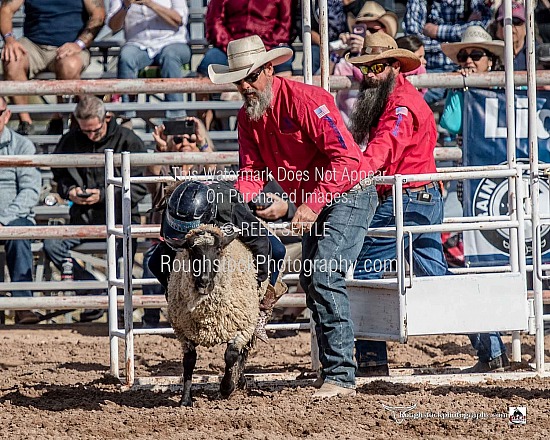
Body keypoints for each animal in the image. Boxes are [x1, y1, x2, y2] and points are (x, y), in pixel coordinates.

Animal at [167, 223, 266, 406]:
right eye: (191, 250)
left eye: (218, 250)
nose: (204, 281)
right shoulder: (183, 331)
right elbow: (189, 361)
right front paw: (185, 400)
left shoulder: (242, 328)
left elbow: (231, 356)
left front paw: (226, 388)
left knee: (242, 353)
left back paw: (238, 381)